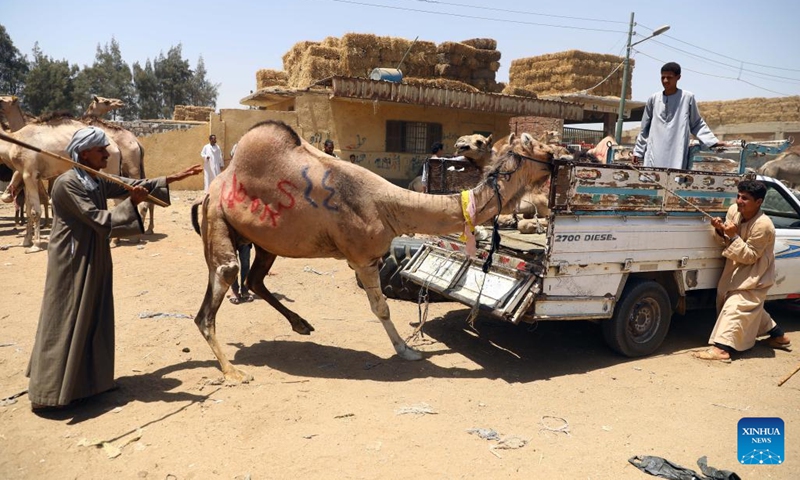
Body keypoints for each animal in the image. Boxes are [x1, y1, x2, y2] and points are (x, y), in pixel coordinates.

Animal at [191, 120, 554, 383]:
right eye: (538, 146)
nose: (558, 157)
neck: (387, 204)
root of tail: (218, 184)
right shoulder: (362, 257)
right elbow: (381, 308)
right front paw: (406, 350)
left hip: (266, 241)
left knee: (255, 280)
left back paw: (301, 324)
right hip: (217, 218)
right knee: (218, 289)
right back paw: (233, 371)